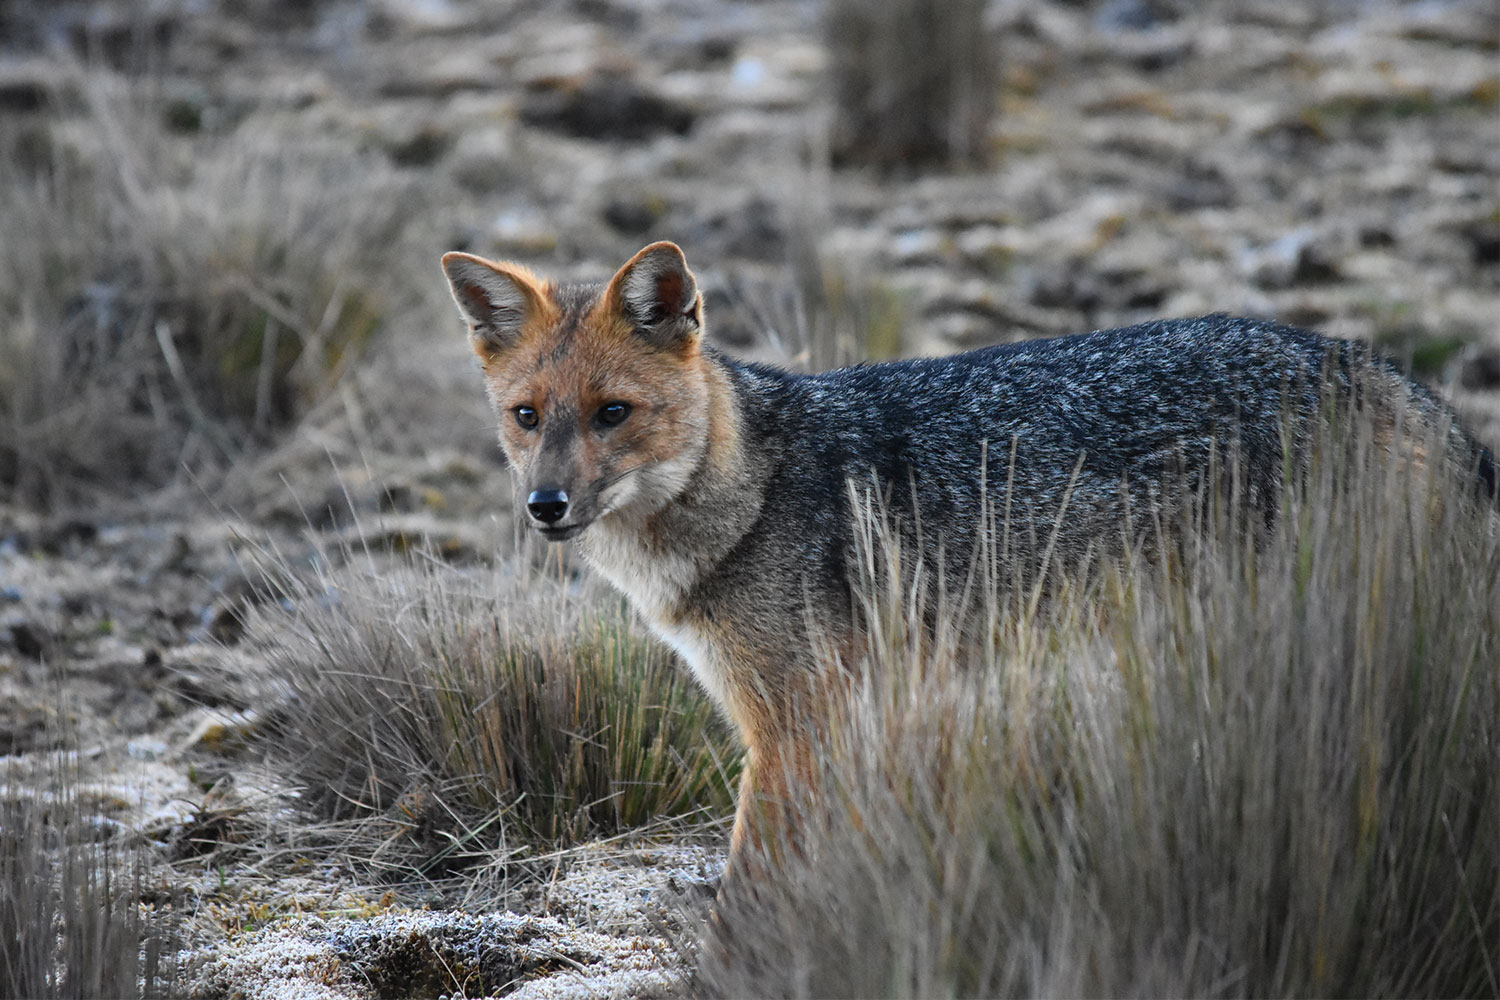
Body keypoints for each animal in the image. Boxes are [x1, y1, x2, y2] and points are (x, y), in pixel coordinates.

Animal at [438, 238, 1494, 881]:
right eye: (527, 417)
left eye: (613, 413)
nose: (545, 507)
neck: (753, 491)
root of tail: (1390, 373)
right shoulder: (844, 722)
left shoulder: (792, 730)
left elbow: (752, 884)